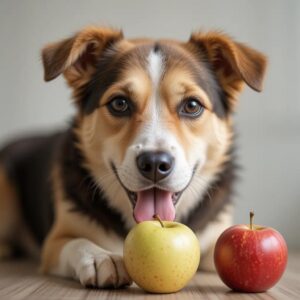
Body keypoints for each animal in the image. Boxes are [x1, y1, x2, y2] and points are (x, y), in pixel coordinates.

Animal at [0, 26, 268, 288]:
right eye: (119, 103)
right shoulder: (55, 242)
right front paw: (101, 257)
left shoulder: (216, 236)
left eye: (192, 106)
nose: (155, 164)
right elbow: (76, 242)